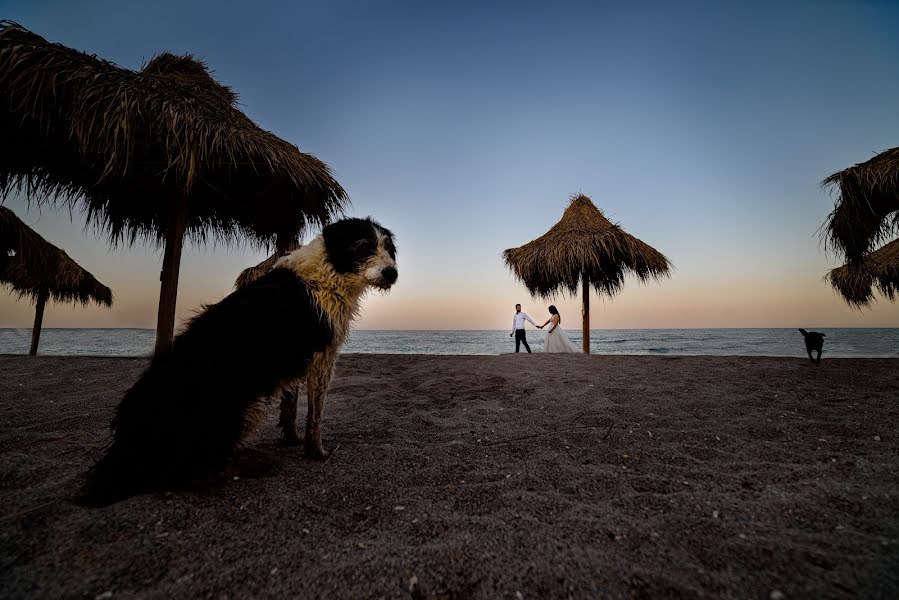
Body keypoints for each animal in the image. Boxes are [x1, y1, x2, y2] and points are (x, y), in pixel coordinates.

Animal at [86, 218, 400, 504]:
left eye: (388, 248)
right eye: (363, 246)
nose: (392, 273)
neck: (330, 269)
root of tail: (127, 443)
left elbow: (291, 404)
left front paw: (291, 438)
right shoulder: (323, 357)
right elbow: (315, 414)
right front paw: (316, 452)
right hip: (245, 405)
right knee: (191, 472)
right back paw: (251, 464)